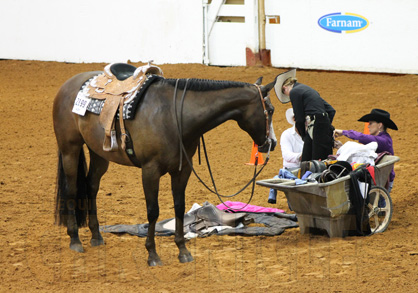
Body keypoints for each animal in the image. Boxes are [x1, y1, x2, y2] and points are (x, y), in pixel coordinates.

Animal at [51, 69, 278, 266]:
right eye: (271, 110)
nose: (273, 144)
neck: (174, 116)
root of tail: (68, 85)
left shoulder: (182, 170)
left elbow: (179, 207)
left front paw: (183, 250)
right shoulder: (150, 171)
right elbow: (153, 211)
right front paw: (152, 254)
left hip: (99, 154)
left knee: (91, 187)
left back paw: (96, 236)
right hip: (70, 149)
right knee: (71, 190)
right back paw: (75, 239)